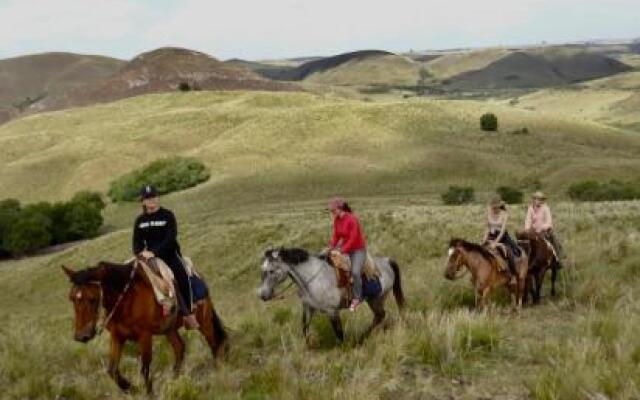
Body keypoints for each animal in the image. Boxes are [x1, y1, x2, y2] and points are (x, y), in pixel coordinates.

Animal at [62, 260, 228, 394]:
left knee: (214, 343)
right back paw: (174, 380)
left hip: (203, 320)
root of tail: (198, 275)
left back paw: (219, 372)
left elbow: (144, 369)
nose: (82, 336)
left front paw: (148, 393)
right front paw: (130, 389)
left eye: (92, 299)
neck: (126, 298)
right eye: (72, 298)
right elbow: (112, 371)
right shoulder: (117, 336)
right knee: (180, 348)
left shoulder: (144, 336)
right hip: (169, 329)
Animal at [256, 247, 402, 344]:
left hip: (376, 299)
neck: (313, 278)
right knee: (379, 316)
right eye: (262, 270)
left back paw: (361, 339)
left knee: (380, 315)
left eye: (271, 271)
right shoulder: (308, 308)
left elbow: (339, 333)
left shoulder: (332, 311)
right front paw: (307, 347)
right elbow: (304, 327)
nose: (263, 295)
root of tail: (387, 261)